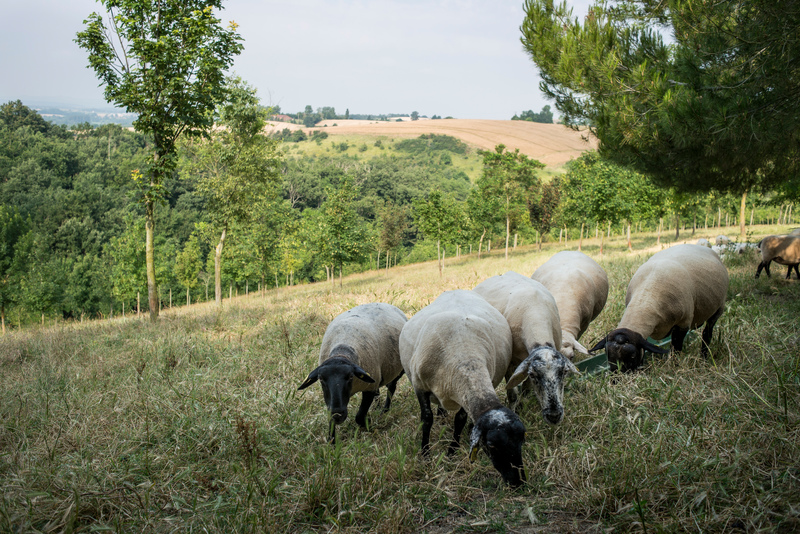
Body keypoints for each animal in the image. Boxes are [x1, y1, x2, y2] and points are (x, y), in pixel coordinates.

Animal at [296, 304, 406, 446]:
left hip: (396, 370)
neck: (341, 352)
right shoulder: (330, 399)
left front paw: (368, 423)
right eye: (321, 379)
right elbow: (330, 418)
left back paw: (384, 410)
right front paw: (331, 442)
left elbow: (359, 416)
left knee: (391, 387)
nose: (338, 415)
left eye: (350, 377)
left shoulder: (368, 388)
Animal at [398, 292, 524, 488]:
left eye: (522, 441)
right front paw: (425, 452)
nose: (518, 481)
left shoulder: (464, 394)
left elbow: (460, 420)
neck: (464, 355)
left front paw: (452, 450)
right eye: (491, 445)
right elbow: (427, 418)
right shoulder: (420, 386)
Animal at [472, 272, 580, 428]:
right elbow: (512, 393)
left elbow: (526, 388)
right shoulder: (511, 362)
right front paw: (515, 409)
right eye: (534, 375)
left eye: (564, 372)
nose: (554, 416)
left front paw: (524, 400)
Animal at [588, 246, 732, 372]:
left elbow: (676, 349)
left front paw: (674, 367)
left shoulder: (683, 323)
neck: (647, 297)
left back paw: (704, 357)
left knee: (707, 334)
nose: (617, 380)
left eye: (632, 356)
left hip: (718, 308)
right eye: (607, 355)